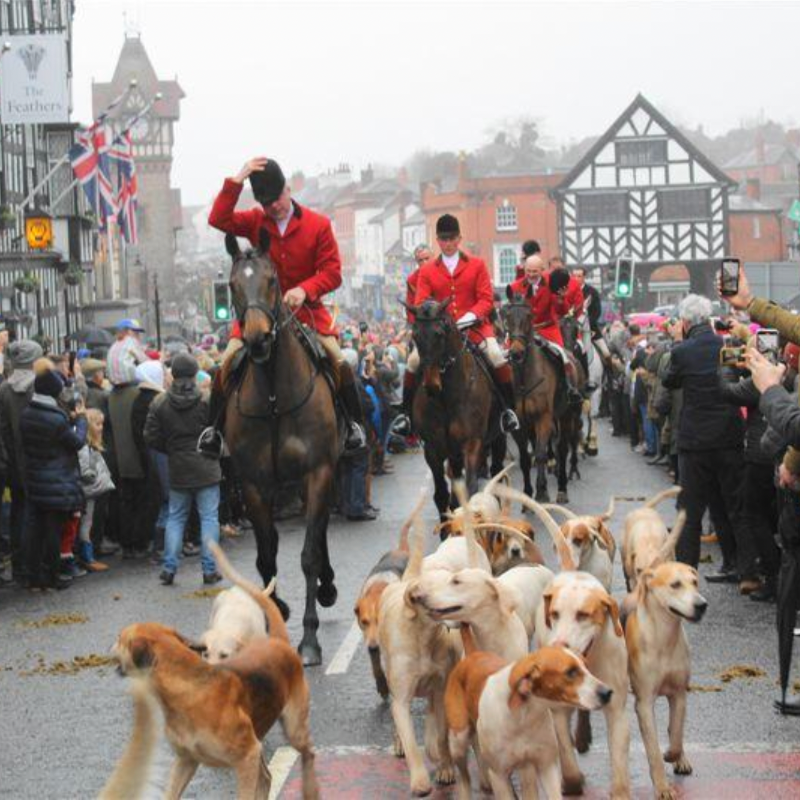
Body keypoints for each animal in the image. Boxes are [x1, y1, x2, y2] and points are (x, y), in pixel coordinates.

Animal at [223, 233, 340, 668]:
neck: (274, 395)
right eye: (232, 285)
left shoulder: (318, 472)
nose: (257, 339)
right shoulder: (254, 485)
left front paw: (309, 640)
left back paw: (327, 587)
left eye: (273, 281)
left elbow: (306, 555)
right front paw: (278, 612)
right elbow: (266, 555)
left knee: (319, 534)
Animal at [406, 298, 500, 520]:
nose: (431, 385)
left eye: (439, 334)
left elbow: (471, 491)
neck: (447, 398)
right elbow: (441, 494)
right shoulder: (433, 449)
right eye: (415, 335)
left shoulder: (472, 443)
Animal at [504, 290, 572, 504]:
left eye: (529, 316)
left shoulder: (544, 417)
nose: (516, 353)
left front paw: (542, 491)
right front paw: (527, 493)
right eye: (507, 316)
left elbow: (541, 453)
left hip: (566, 415)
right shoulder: (520, 422)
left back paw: (562, 488)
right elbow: (526, 458)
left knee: (562, 448)